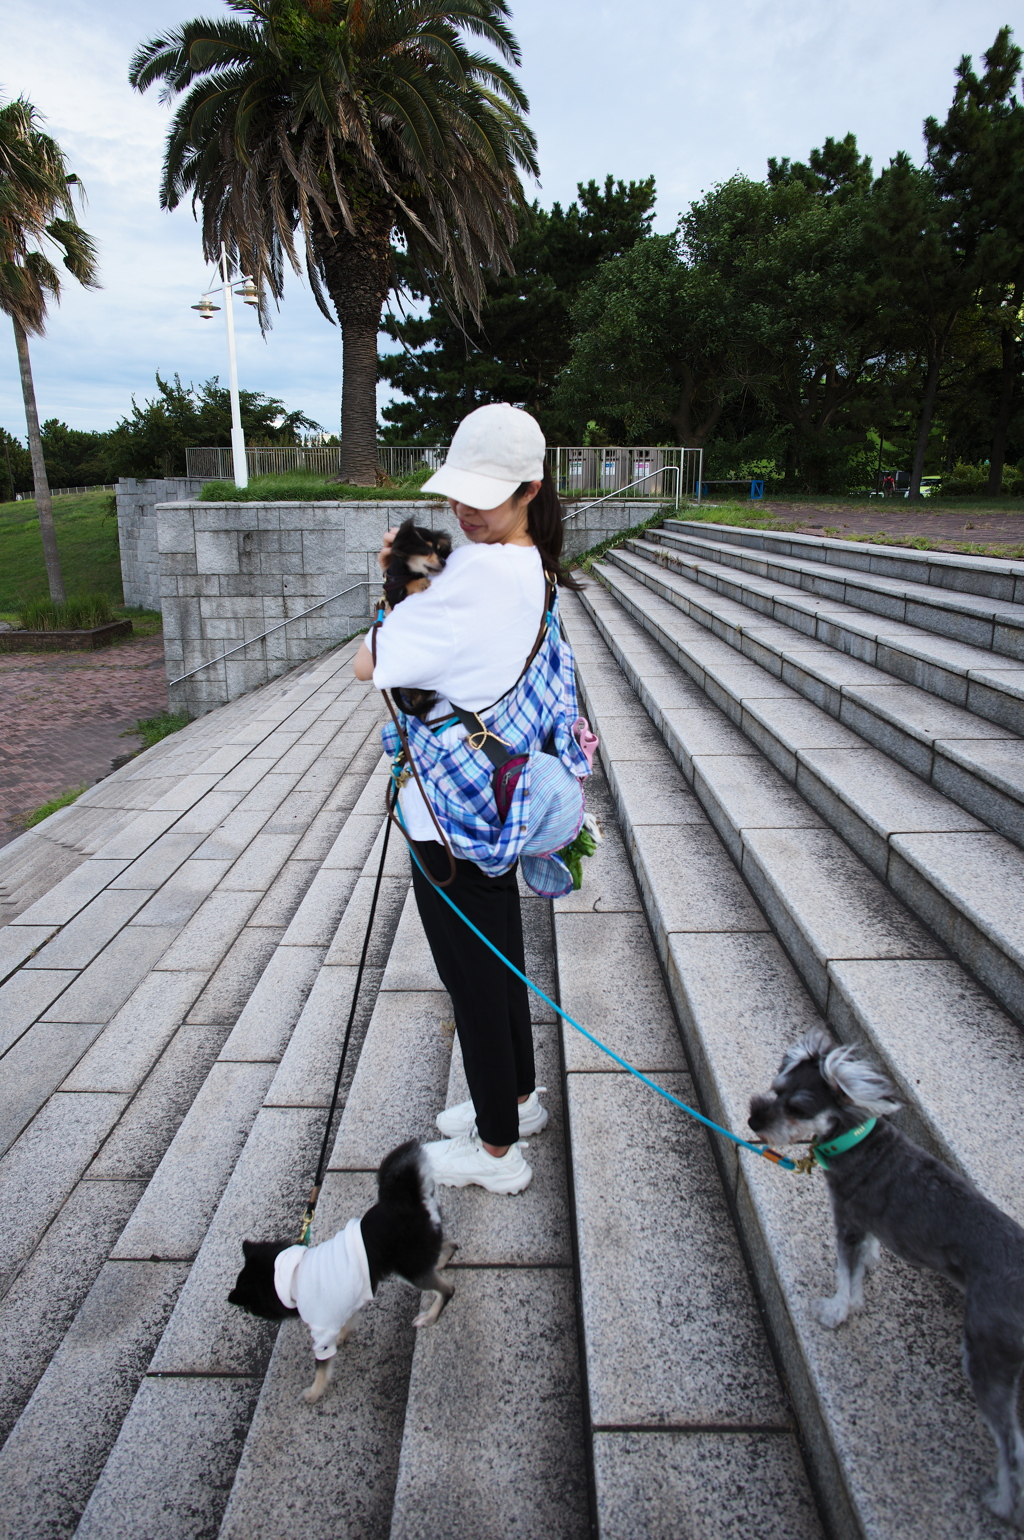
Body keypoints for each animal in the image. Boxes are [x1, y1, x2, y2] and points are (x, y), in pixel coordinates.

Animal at [230, 1139, 458, 1404]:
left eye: (249, 1308)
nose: (249, 1313)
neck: (292, 1278)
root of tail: (411, 1200)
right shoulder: (346, 1302)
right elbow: (348, 1321)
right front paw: (343, 1335)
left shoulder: (320, 1331)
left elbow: (321, 1366)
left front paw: (315, 1391)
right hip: (416, 1255)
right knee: (449, 1246)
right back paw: (440, 1261)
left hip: (409, 1270)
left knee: (447, 1290)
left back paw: (430, 1315)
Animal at [748, 1022, 1022, 1527]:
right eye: (775, 1089)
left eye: (798, 1108)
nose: (755, 1120)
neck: (855, 1142)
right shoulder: (867, 1222)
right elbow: (864, 1258)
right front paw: (869, 1270)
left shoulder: (847, 1219)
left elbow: (845, 1274)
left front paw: (836, 1311)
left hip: (987, 1354)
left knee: (1012, 1445)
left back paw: (1001, 1503)